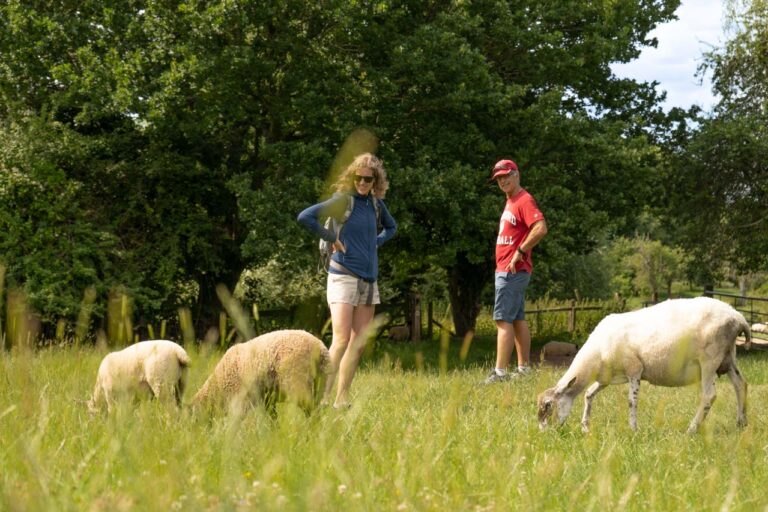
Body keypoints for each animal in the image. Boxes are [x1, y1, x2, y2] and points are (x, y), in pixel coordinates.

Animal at [192, 328, 330, 416]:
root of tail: (320, 347)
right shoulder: (268, 401)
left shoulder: (241, 400)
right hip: (320, 383)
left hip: (297, 381)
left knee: (311, 410)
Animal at [536, 298, 748, 434]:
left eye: (548, 405)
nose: (542, 433)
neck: (594, 358)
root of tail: (738, 318)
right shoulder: (607, 378)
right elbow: (589, 394)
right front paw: (585, 427)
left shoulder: (634, 370)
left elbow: (632, 401)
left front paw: (633, 430)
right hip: (728, 358)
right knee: (741, 385)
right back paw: (741, 424)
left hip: (709, 360)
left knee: (709, 395)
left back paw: (691, 429)